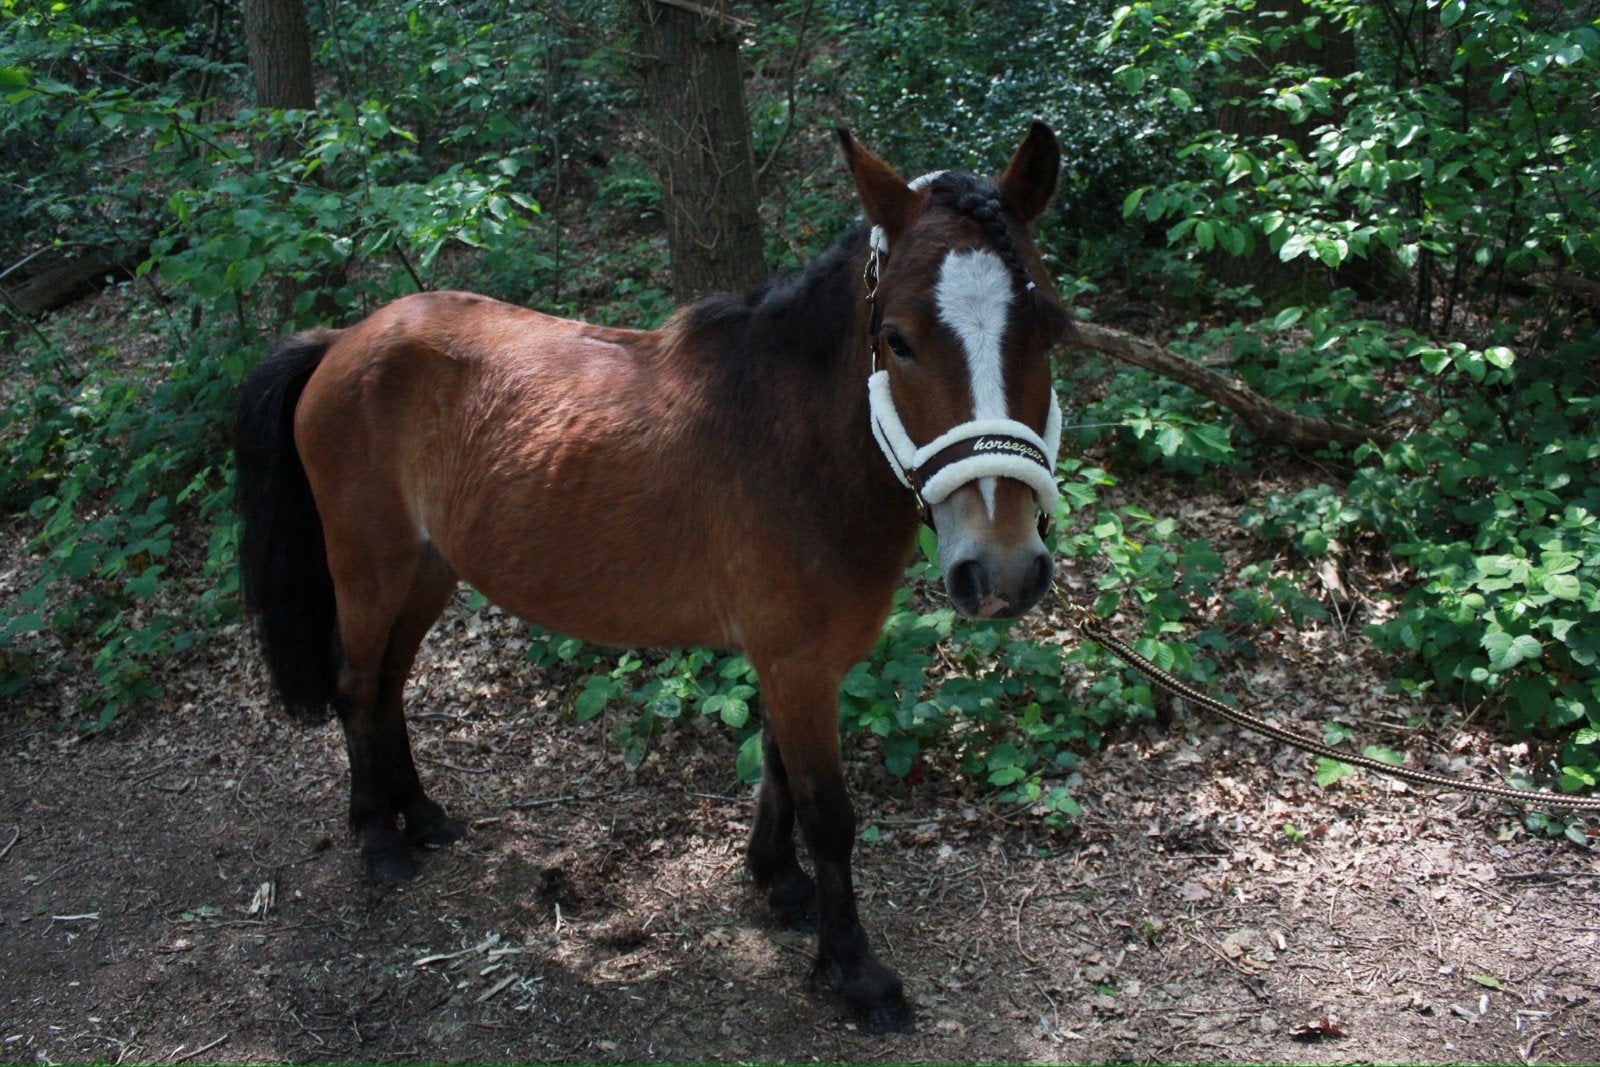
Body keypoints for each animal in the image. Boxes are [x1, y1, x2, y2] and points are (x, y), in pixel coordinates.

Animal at [234, 123, 1072, 1032]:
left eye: (1049, 329)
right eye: (900, 339)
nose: (1001, 565)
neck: (794, 443)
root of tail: (343, 340)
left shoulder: (791, 661)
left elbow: (776, 767)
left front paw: (780, 884)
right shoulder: (797, 663)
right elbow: (829, 813)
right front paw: (854, 969)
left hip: (430, 570)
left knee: (388, 684)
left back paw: (419, 815)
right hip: (370, 567)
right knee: (357, 683)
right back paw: (380, 840)